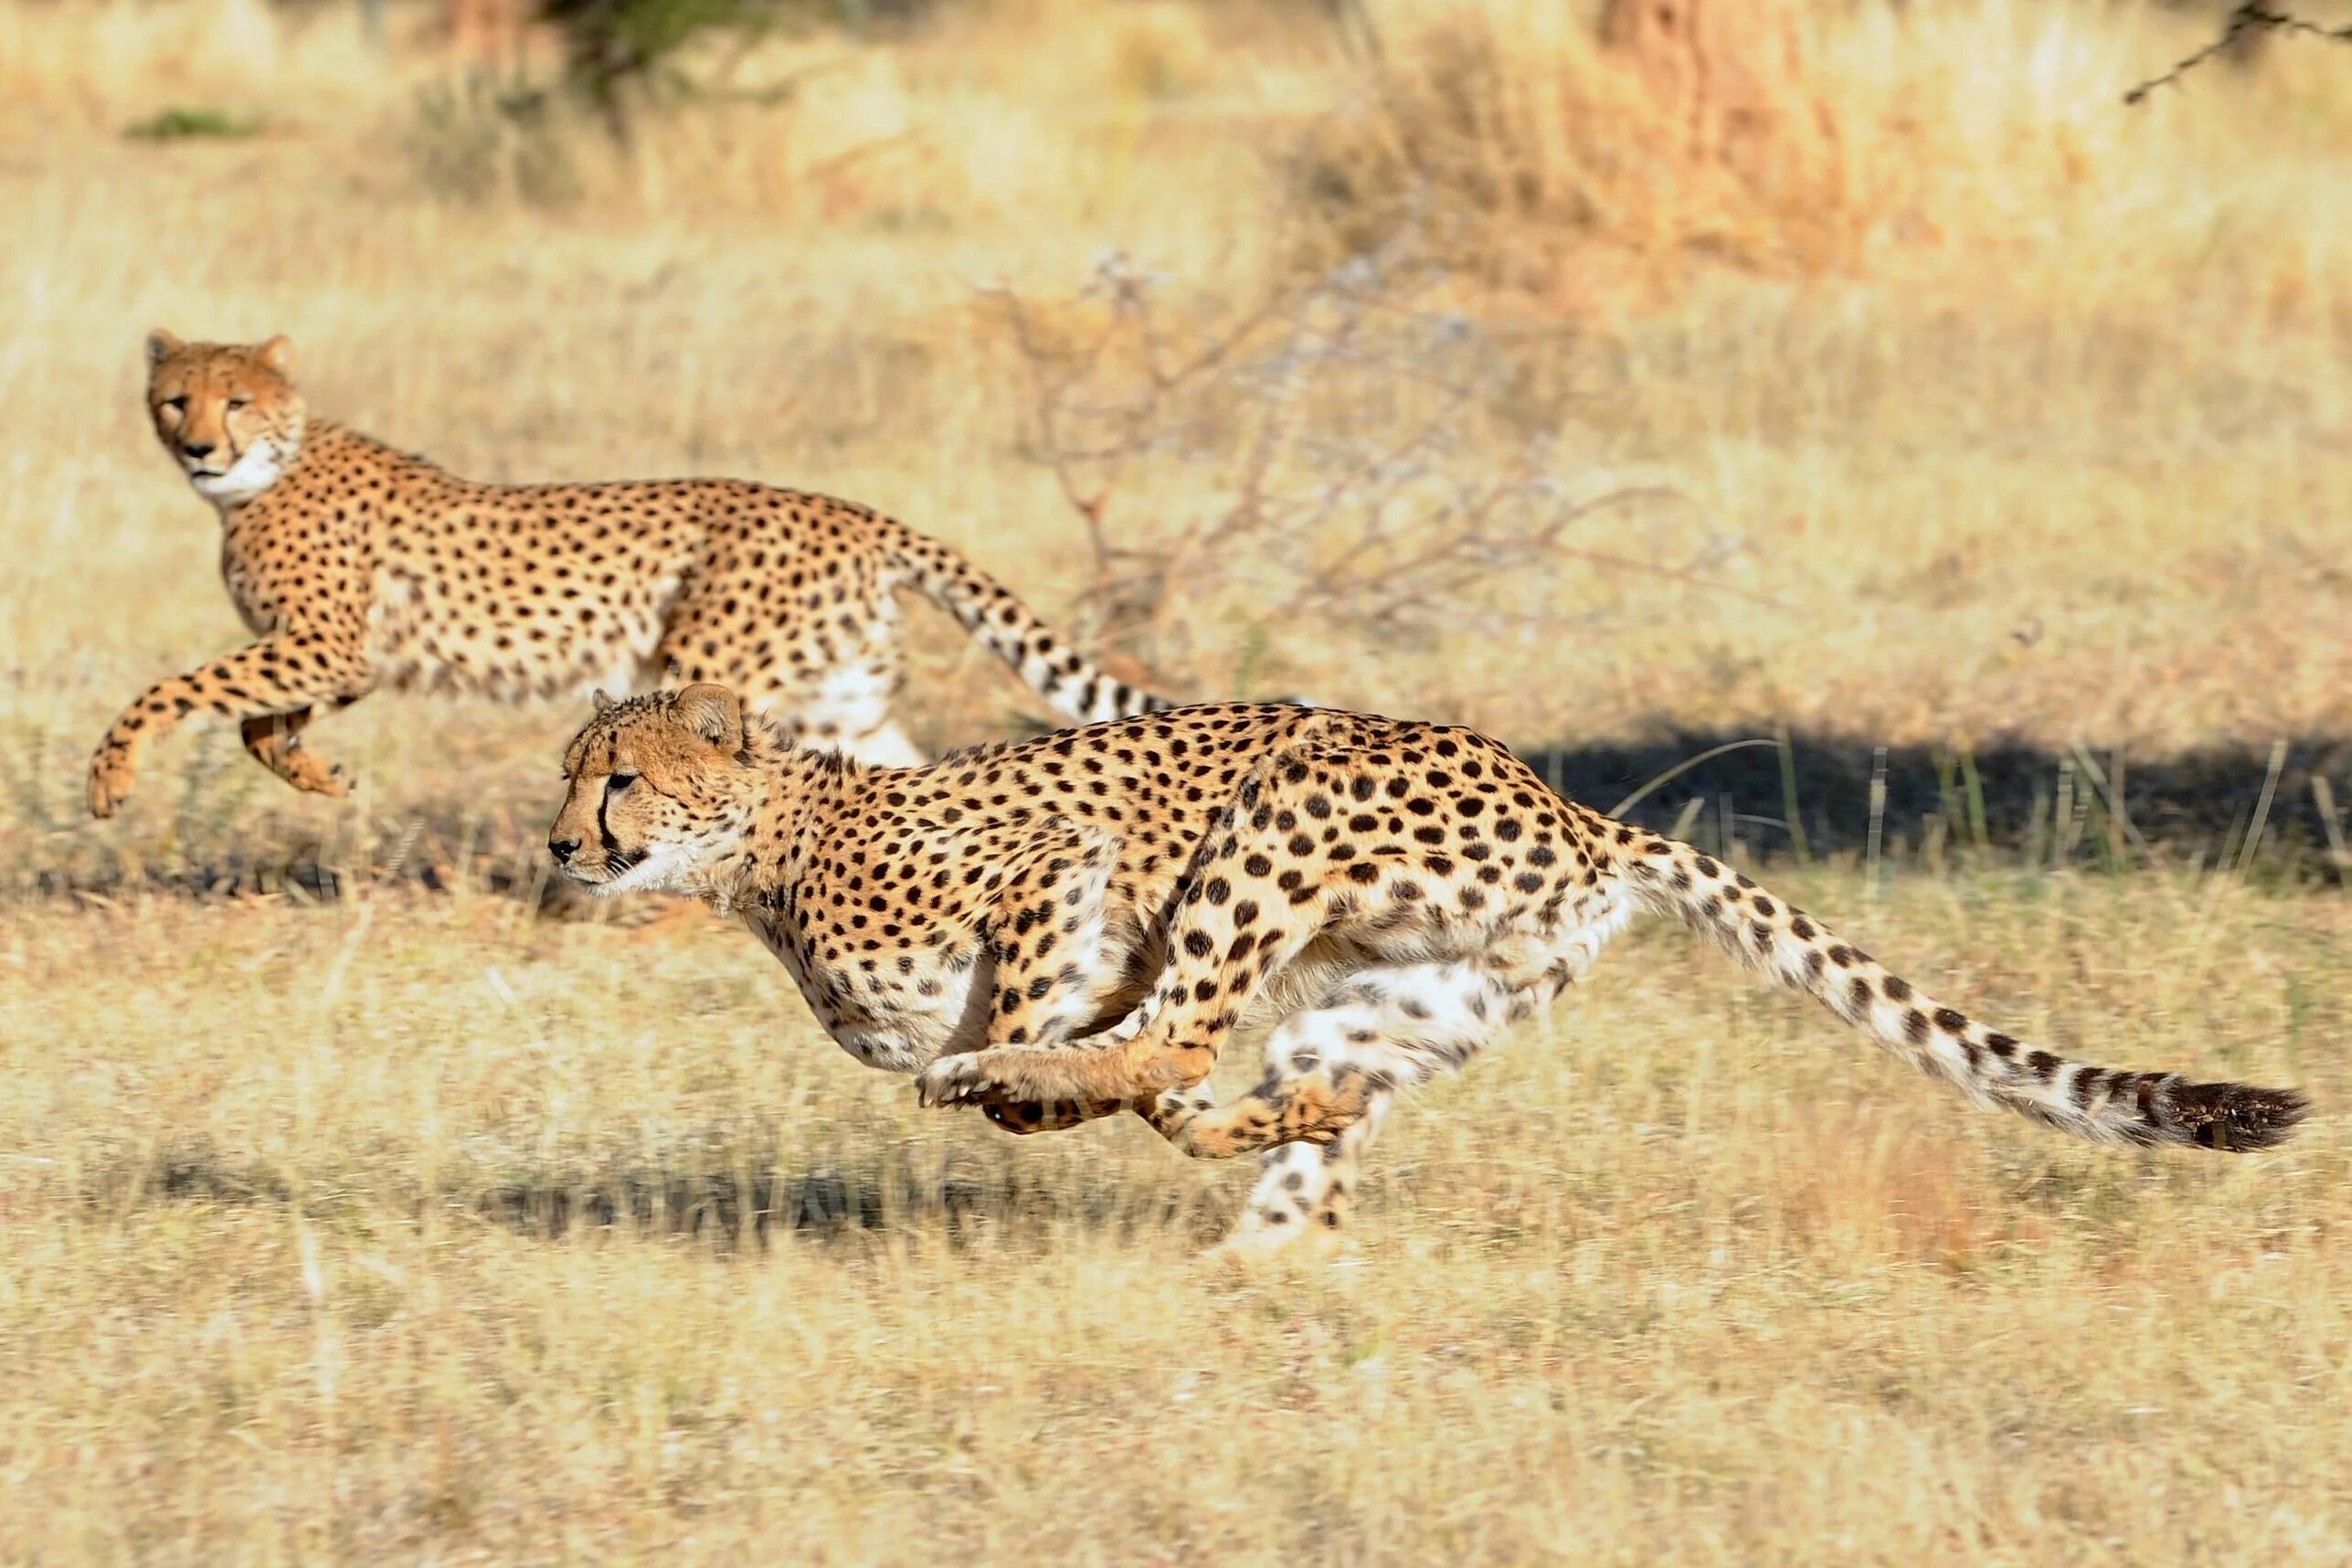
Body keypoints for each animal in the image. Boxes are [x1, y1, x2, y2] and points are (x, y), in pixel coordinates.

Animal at [87, 331, 1171, 822]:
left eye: (236, 400)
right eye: (175, 398)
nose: (199, 449)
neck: (269, 469)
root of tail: (851, 510)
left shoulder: (325, 645)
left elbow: (176, 692)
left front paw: (111, 774)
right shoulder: (339, 657)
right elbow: (255, 723)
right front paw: (317, 775)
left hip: (709, 670)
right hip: (843, 699)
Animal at [541, 691, 2304, 1259]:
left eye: (615, 779)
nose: (558, 845)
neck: (762, 848)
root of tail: (1583, 813)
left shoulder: (1054, 869)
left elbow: (1083, 1029)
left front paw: (1016, 1073)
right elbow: (1156, 1081)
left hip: (1278, 811)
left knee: (1173, 1043)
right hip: (1409, 988)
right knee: (1268, 1085)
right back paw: (1272, 1205)